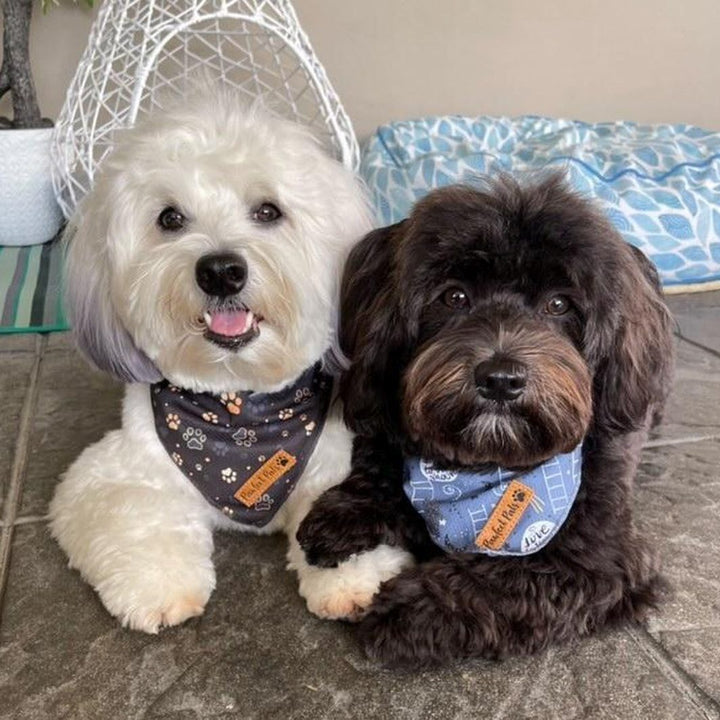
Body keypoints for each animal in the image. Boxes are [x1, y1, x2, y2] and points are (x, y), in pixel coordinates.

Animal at [49, 87, 410, 632]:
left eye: (267, 211)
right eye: (170, 219)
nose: (220, 271)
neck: (239, 413)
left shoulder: (336, 458)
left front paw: (351, 580)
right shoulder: (116, 471)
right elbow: (133, 513)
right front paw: (159, 586)